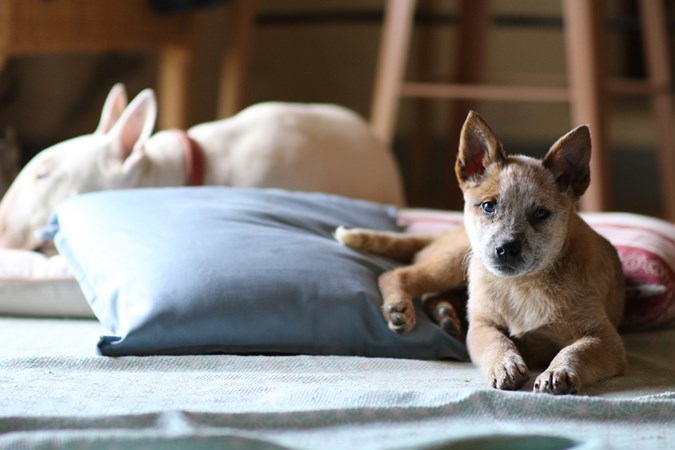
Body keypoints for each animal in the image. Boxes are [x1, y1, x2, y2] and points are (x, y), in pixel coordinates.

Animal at [338, 111, 628, 394]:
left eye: (540, 213)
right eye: (489, 205)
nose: (506, 248)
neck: (523, 285)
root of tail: (441, 234)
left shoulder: (605, 338)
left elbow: (576, 351)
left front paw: (559, 371)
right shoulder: (481, 325)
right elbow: (496, 342)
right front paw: (505, 365)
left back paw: (444, 315)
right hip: (455, 262)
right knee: (399, 274)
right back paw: (400, 309)